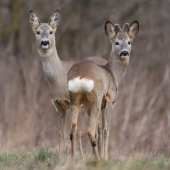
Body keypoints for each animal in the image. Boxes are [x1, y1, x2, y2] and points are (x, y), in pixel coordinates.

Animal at [27, 9, 107, 164]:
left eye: (51, 32)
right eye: (38, 32)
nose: (44, 42)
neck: (59, 80)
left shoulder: (73, 103)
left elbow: (77, 131)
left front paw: (77, 159)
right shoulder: (58, 106)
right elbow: (61, 133)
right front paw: (59, 161)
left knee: (99, 125)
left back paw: (101, 156)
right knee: (98, 125)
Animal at [67, 19, 139, 163]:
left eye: (129, 41)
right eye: (116, 42)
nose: (124, 52)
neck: (113, 74)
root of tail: (80, 75)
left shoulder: (99, 105)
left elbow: (100, 128)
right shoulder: (110, 100)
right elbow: (106, 129)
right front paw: (105, 157)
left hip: (75, 98)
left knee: (73, 128)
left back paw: (72, 161)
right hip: (95, 98)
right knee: (90, 130)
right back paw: (97, 159)